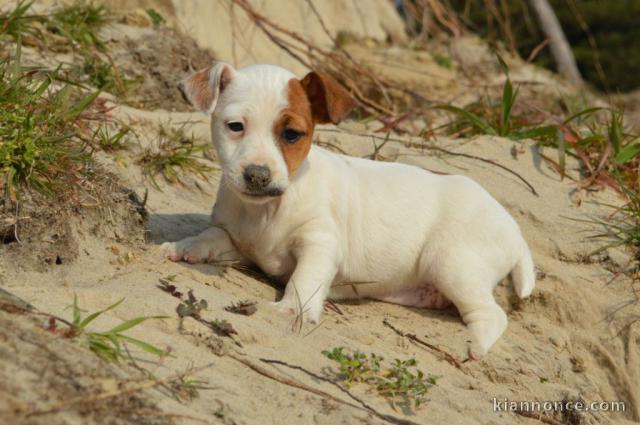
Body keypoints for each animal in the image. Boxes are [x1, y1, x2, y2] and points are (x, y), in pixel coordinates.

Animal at [161, 61, 536, 356]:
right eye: (236, 126)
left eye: (292, 134)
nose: (257, 175)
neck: (266, 211)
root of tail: (516, 231)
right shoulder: (233, 238)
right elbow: (209, 236)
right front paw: (184, 246)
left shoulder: (320, 243)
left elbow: (305, 278)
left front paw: (291, 309)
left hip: (452, 263)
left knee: (492, 314)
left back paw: (473, 345)